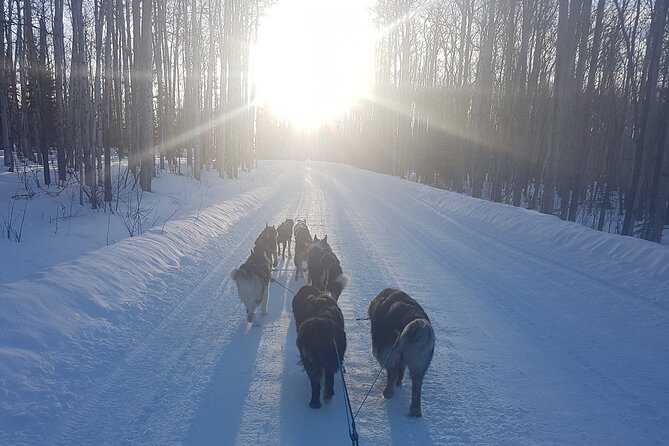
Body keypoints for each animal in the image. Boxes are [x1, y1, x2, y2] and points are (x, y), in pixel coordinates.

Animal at [368, 288, 436, 416]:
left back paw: (388, 393)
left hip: (389, 352)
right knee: (416, 386)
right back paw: (415, 411)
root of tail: (417, 323)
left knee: (392, 374)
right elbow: (402, 368)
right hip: (419, 363)